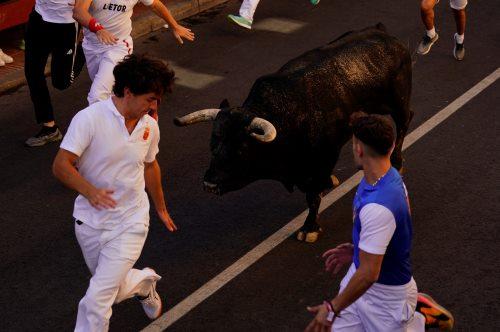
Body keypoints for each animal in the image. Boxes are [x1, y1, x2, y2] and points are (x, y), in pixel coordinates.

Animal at [176, 23, 414, 241]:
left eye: (241, 148)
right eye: (213, 142)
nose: (209, 183)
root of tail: (382, 32)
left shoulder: (323, 157)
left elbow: (312, 196)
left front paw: (309, 227)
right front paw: (329, 184)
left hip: (398, 102)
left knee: (404, 121)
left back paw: (397, 162)